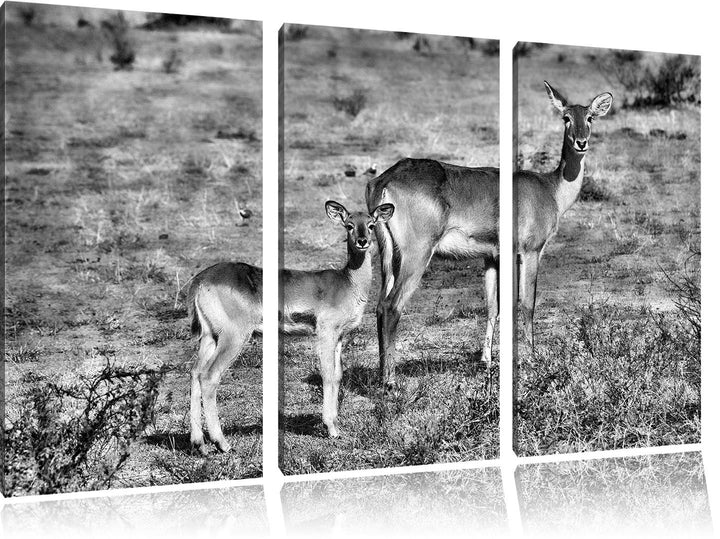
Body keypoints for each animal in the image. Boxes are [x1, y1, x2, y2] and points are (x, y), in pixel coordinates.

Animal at [187, 200, 394, 454]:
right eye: (349, 225)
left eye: (371, 224)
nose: (363, 241)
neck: (348, 283)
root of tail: (201, 280)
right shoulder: (325, 333)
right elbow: (327, 375)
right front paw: (331, 428)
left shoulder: (339, 337)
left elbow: (338, 376)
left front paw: (336, 425)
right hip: (233, 338)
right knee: (209, 376)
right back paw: (223, 443)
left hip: (209, 337)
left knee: (195, 372)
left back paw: (199, 443)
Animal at [366, 81, 611, 386]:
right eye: (566, 117)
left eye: (589, 117)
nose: (581, 142)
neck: (550, 188)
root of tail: (384, 179)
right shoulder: (530, 252)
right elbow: (526, 303)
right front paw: (532, 359)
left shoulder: (492, 257)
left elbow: (493, 306)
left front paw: (486, 359)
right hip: (417, 255)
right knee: (391, 307)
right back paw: (390, 381)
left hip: (389, 255)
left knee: (378, 306)